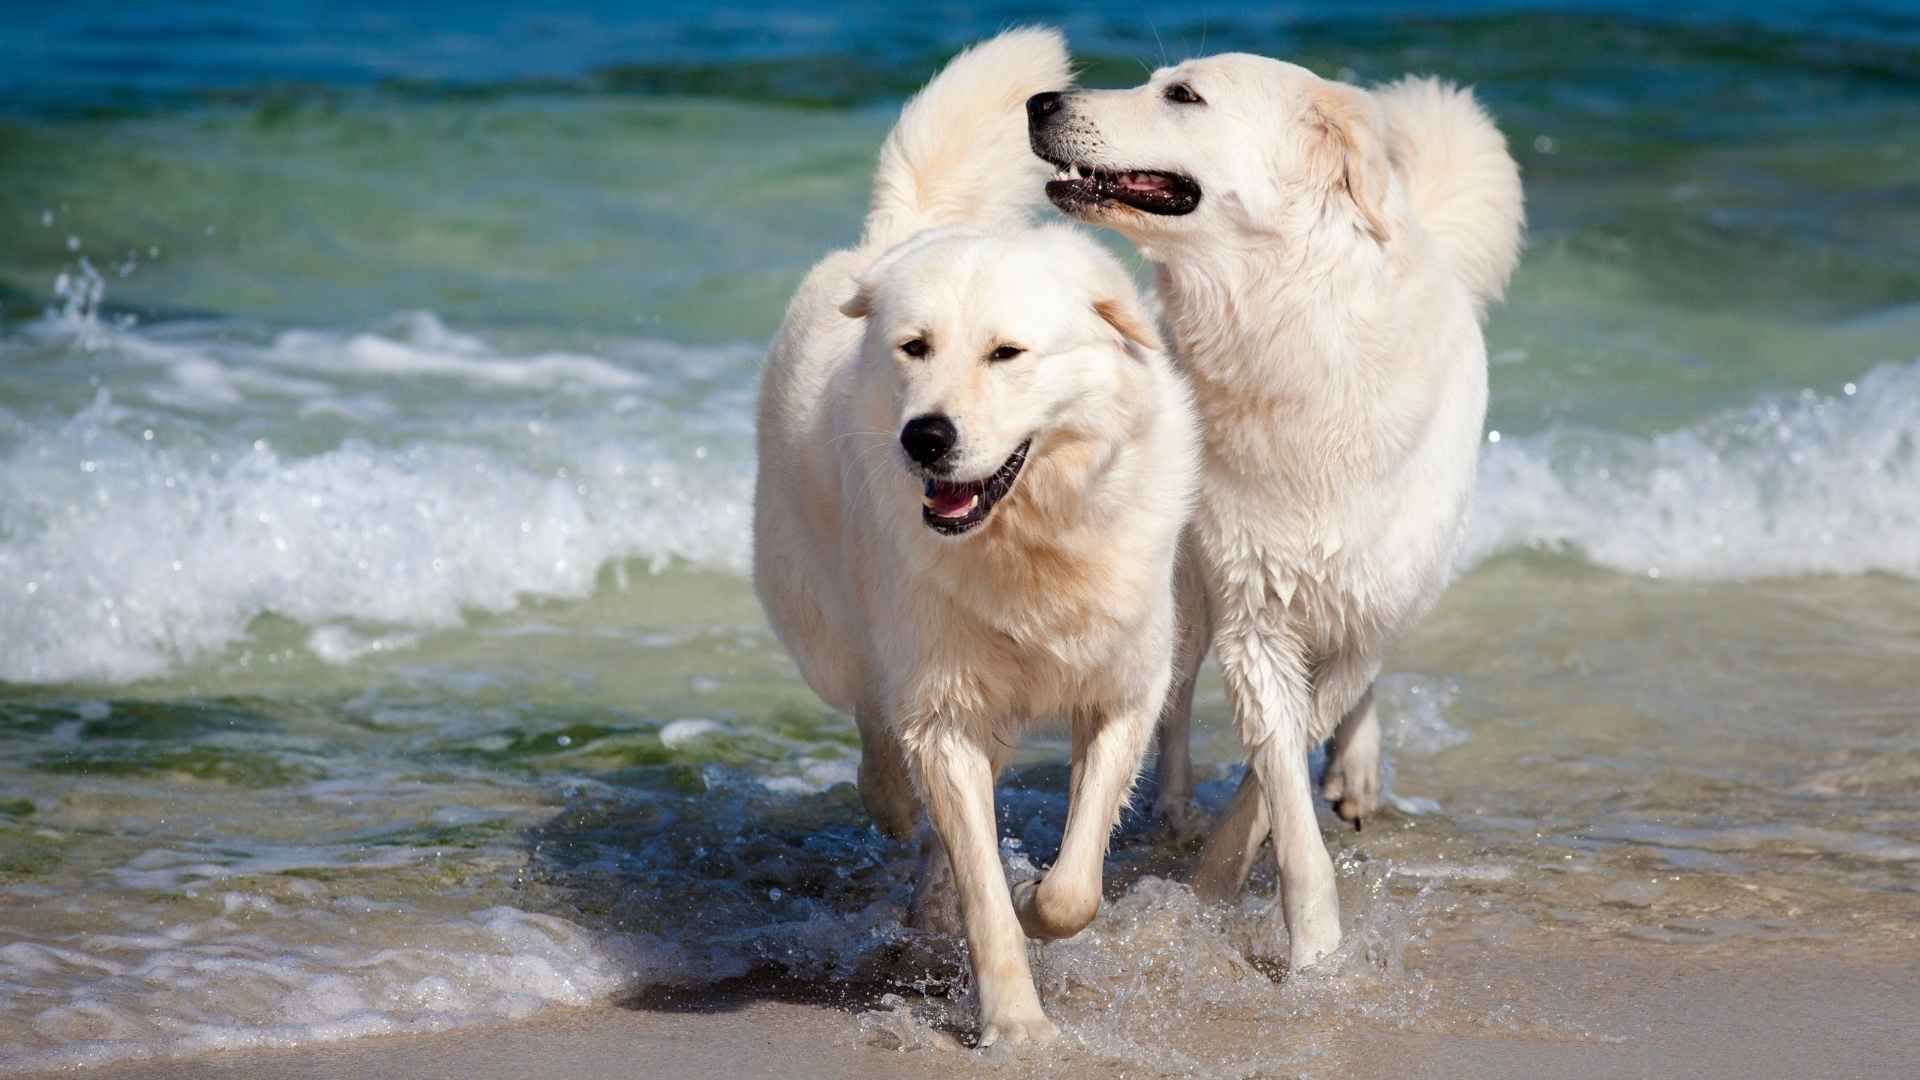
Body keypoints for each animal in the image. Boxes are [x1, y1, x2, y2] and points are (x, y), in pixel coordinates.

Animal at [752, 31, 1190, 1045]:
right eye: (915, 348)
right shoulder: (944, 709)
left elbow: (1073, 882)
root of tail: (898, 236)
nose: (926, 437)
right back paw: (893, 813)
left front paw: (1044, 908)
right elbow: (986, 892)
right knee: (873, 720)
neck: (1031, 538)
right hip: (835, 620)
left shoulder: (1126, 684)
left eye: (1006, 354)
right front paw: (1016, 1023)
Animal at [1029, 56, 1520, 968]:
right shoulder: (1252, 614)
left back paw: (1353, 773)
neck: (1289, 320)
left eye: (1182, 95)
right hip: (1186, 585)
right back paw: (1176, 807)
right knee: (1175, 694)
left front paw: (1245, 885)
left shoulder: (1367, 611)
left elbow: (1285, 760)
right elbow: (1282, 789)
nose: (1039, 101)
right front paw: (1305, 941)